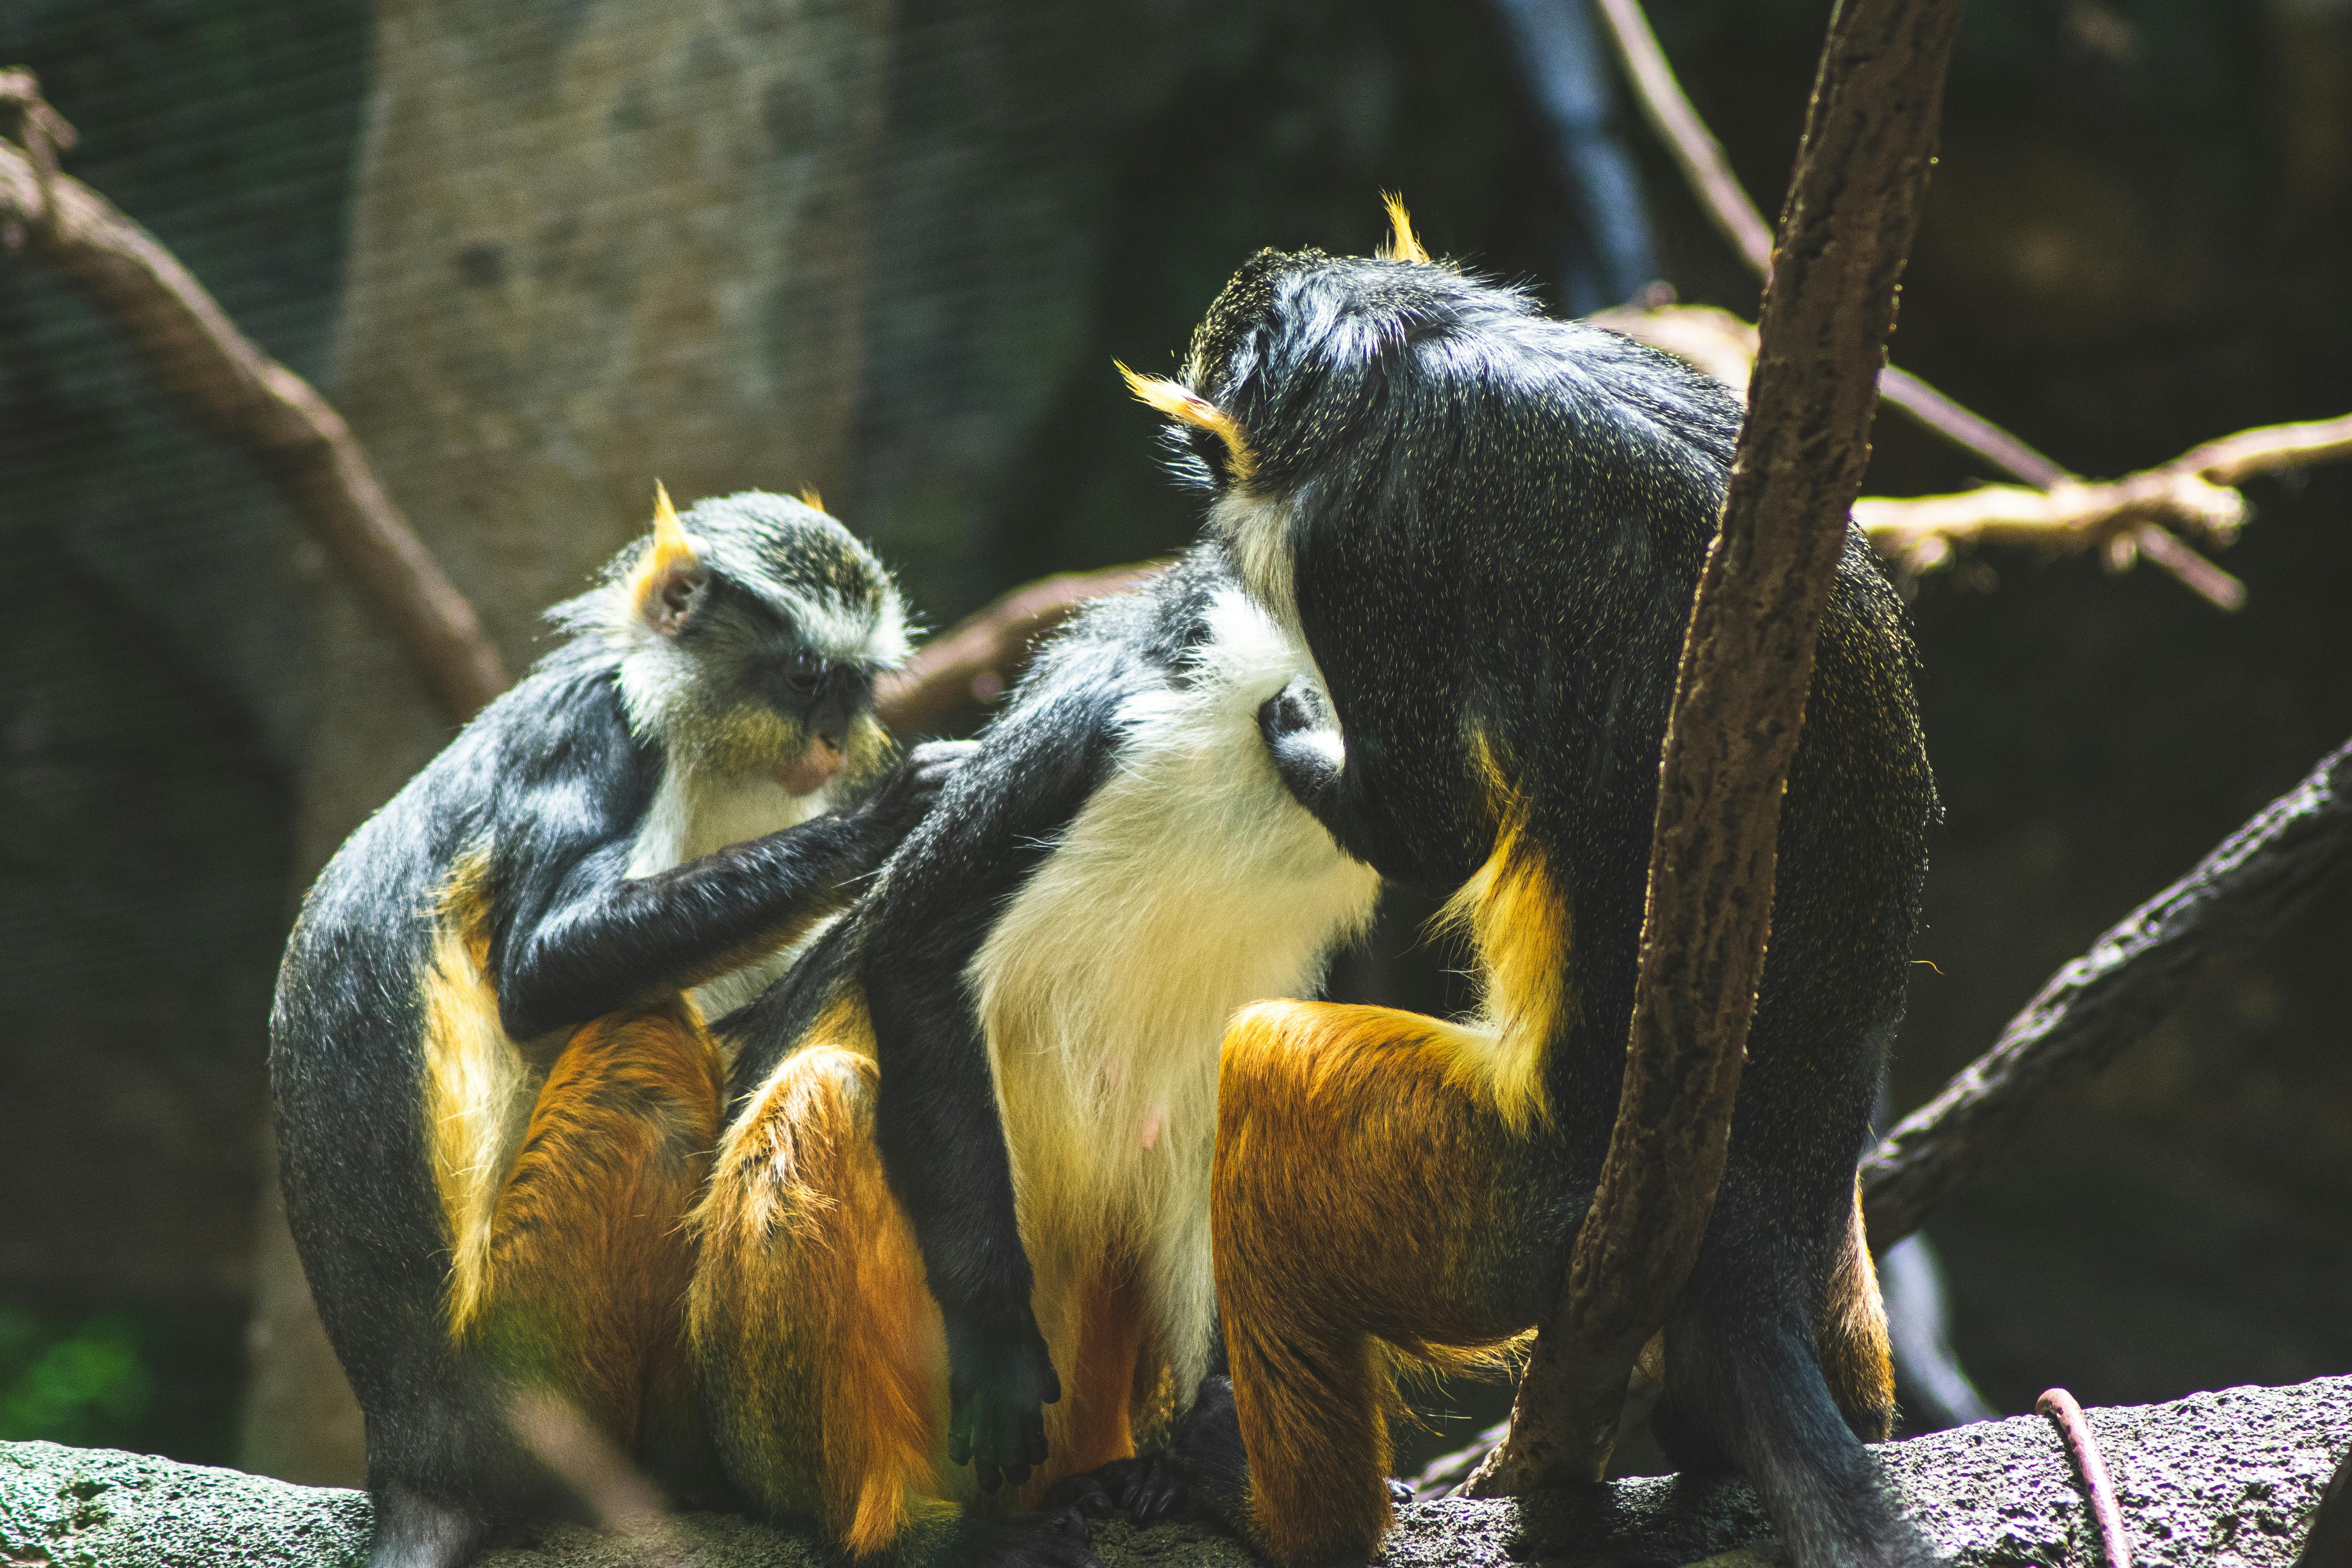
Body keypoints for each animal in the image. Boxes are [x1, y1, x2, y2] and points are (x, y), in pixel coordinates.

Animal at [270, 487, 967, 1568]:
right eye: (803, 677)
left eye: (854, 689)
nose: (828, 741)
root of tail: (416, 1458)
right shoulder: (595, 731)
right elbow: (541, 964)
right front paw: (883, 821)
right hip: (535, 1355)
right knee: (643, 1048)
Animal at [684, 545, 1383, 1567]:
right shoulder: (1086, 738)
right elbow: (915, 949)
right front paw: (1001, 1343)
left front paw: (1205, 1449)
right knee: (829, 1089)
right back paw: (917, 1532)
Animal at [1118, 205, 1940, 1568]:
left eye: (1206, 458)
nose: (1201, 509)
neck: (1403, 348)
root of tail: (1757, 1224)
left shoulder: (1357, 552)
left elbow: (1432, 834)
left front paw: (1297, 733)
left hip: (1500, 1215)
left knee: (1270, 1066)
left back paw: (1282, 1512)